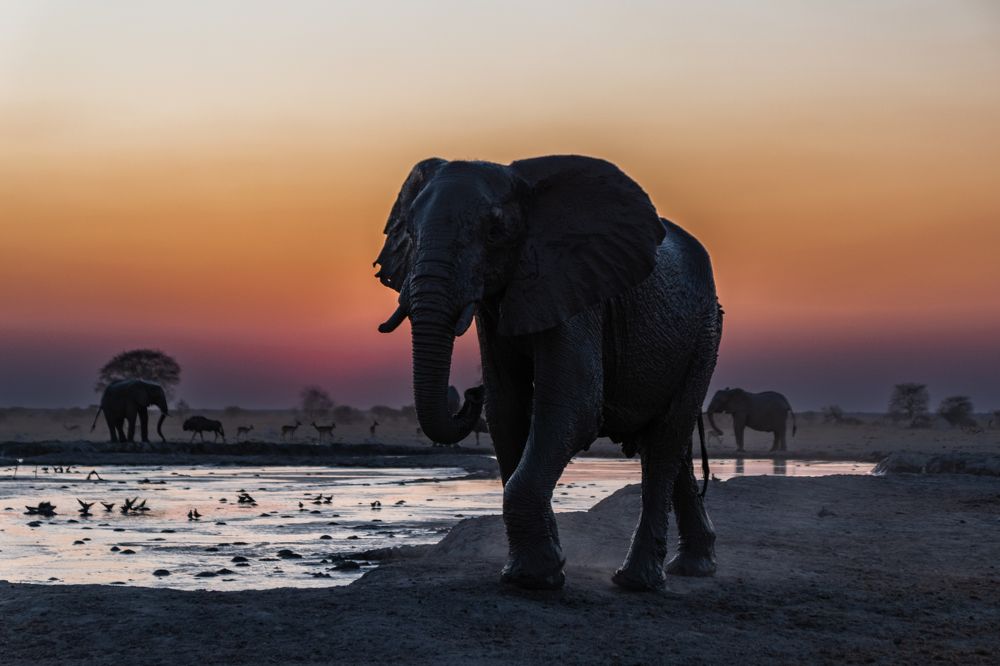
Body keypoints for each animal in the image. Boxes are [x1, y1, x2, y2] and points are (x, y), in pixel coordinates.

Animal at [373, 155, 722, 591]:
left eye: (495, 232)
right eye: (410, 232)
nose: (470, 393)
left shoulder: (576, 286)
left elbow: (572, 407)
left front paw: (534, 579)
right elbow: (507, 410)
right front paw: (529, 572)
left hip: (705, 333)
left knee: (664, 443)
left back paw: (637, 582)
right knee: (672, 446)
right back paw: (692, 567)